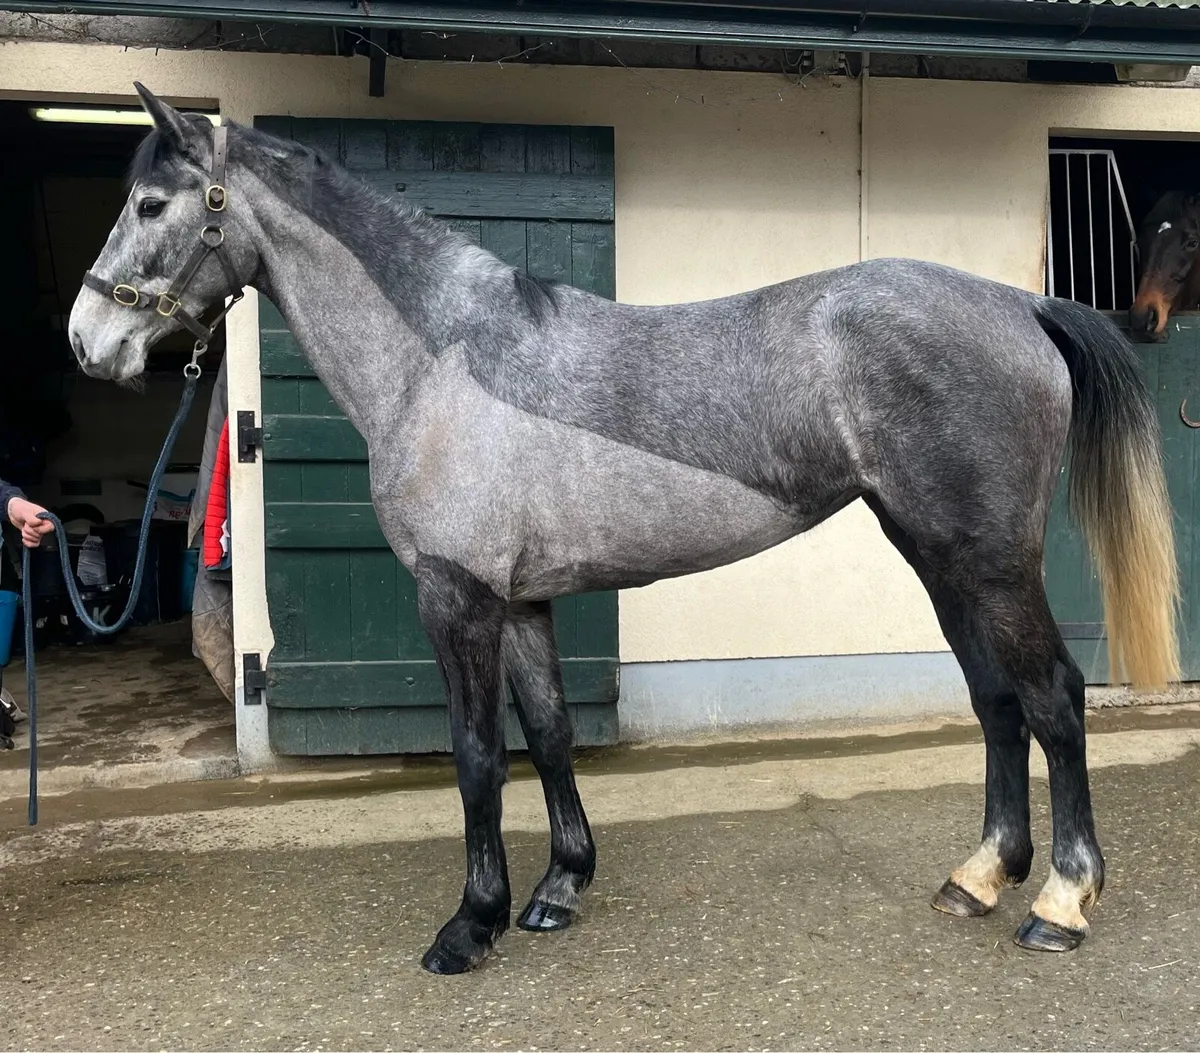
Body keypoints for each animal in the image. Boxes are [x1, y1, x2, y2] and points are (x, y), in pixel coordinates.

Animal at [68, 85, 1180, 975]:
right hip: (938, 557)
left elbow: (477, 754)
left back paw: (1061, 903)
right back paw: (980, 876)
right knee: (995, 701)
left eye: (153, 205)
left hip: (990, 562)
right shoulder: (520, 600)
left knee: (1055, 698)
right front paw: (557, 890)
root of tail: (1021, 305)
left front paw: (468, 927)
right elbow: (551, 733)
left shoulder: (456, 598)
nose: (88, 341)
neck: (444, 360)